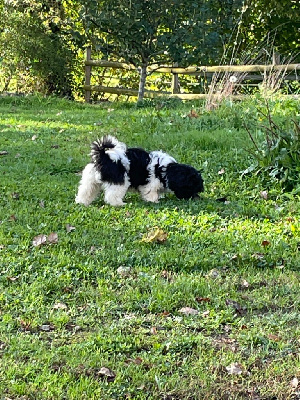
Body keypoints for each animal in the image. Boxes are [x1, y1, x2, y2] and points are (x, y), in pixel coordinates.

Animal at [74, 136, 204, 208]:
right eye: (191, 187)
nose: (197, 198)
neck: (166, 170)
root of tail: (103, 156)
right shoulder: (151, 183)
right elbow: (151, 192)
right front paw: (154, 201)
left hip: (90, 179)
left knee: (86, 190)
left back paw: (82, 202)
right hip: (120, 181)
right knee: (112, 195)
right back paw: (119, 204)